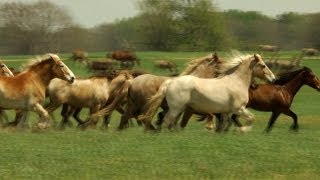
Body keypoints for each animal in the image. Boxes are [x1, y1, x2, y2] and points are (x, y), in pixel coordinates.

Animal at [139, 53, 276, 131]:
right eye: (263, 65)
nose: (273, 78)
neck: (236, 82)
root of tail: (170, 82)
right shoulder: (239, 109)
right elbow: (251, 118)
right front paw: (242, 130)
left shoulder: (226, 112)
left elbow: (223, 125)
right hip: (176, 108)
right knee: (166, 121)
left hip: (178, 109)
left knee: (167, 122)